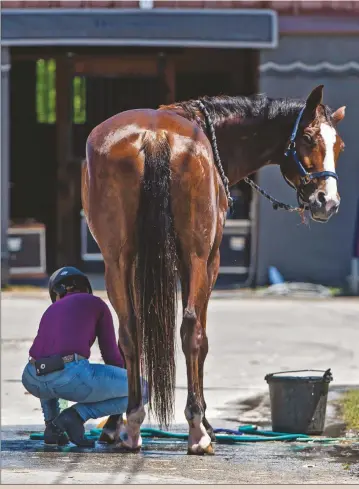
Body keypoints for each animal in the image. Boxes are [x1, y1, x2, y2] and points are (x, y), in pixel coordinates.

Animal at [81, 85, 346, 454]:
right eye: (307, 138)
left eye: (339, 146)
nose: (328, 202)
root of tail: (154, 136)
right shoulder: (210, 260)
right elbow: (201, 339)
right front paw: (205, 422)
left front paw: (114, 424)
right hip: (195, 257)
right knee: (191, 331)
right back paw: (197, 431)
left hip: (116, 261)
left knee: (130, 331)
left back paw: (132, 426)